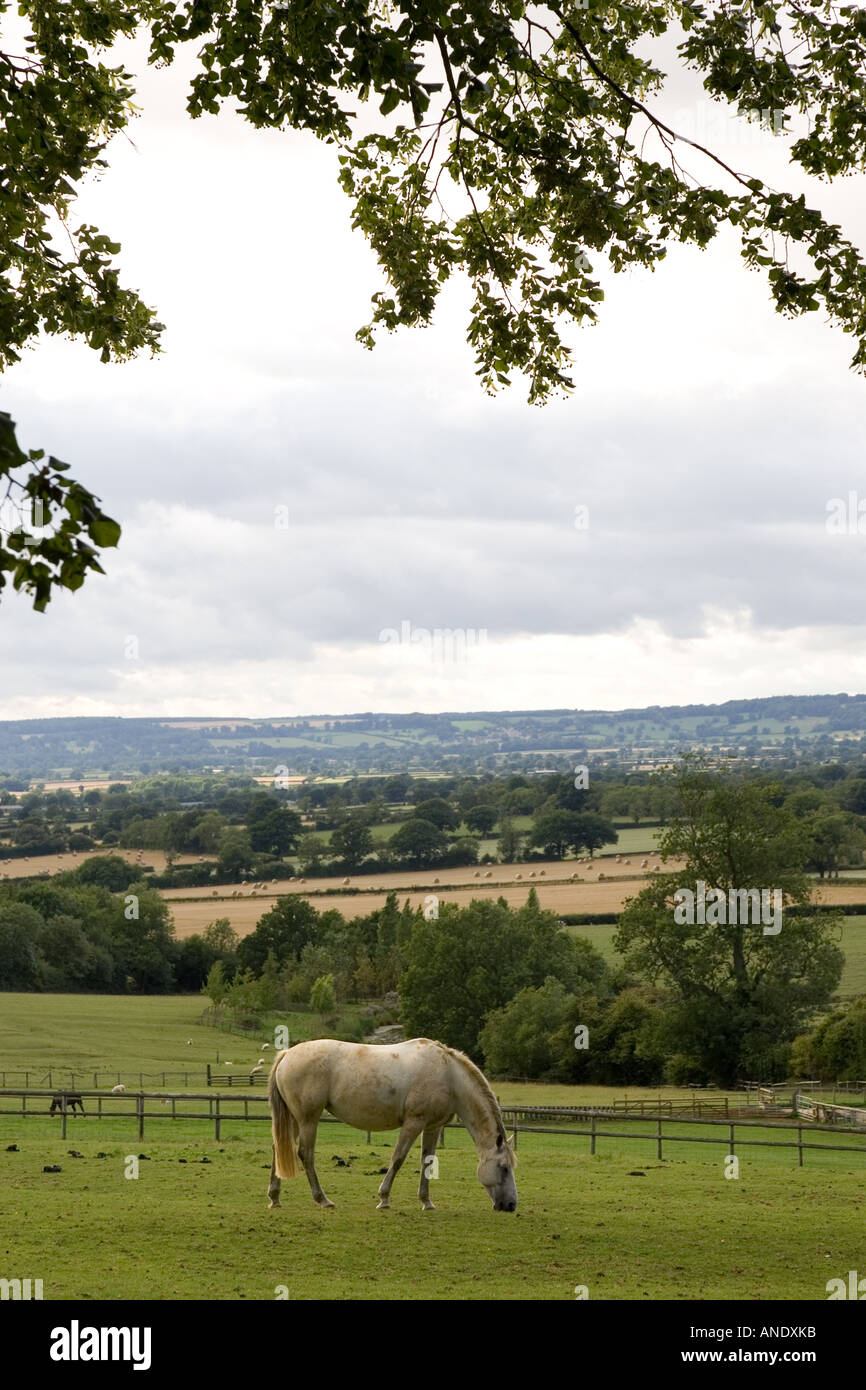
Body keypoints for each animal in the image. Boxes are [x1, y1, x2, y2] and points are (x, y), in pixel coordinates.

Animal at [268, 1039, 517, 1212]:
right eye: (503, 1167)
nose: (511, 1205)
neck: (449, 1075)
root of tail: (287, 1054)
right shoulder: (413, 1123)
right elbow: (397, 1159)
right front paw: (384, 1199)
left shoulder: (433, 1127)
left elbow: (427, 1161)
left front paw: (426, 1202)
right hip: (308, 1119)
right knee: (305, 1154)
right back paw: (323, 1199)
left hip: (293, 1119)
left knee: (278, 1149)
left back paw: (274, 1198)